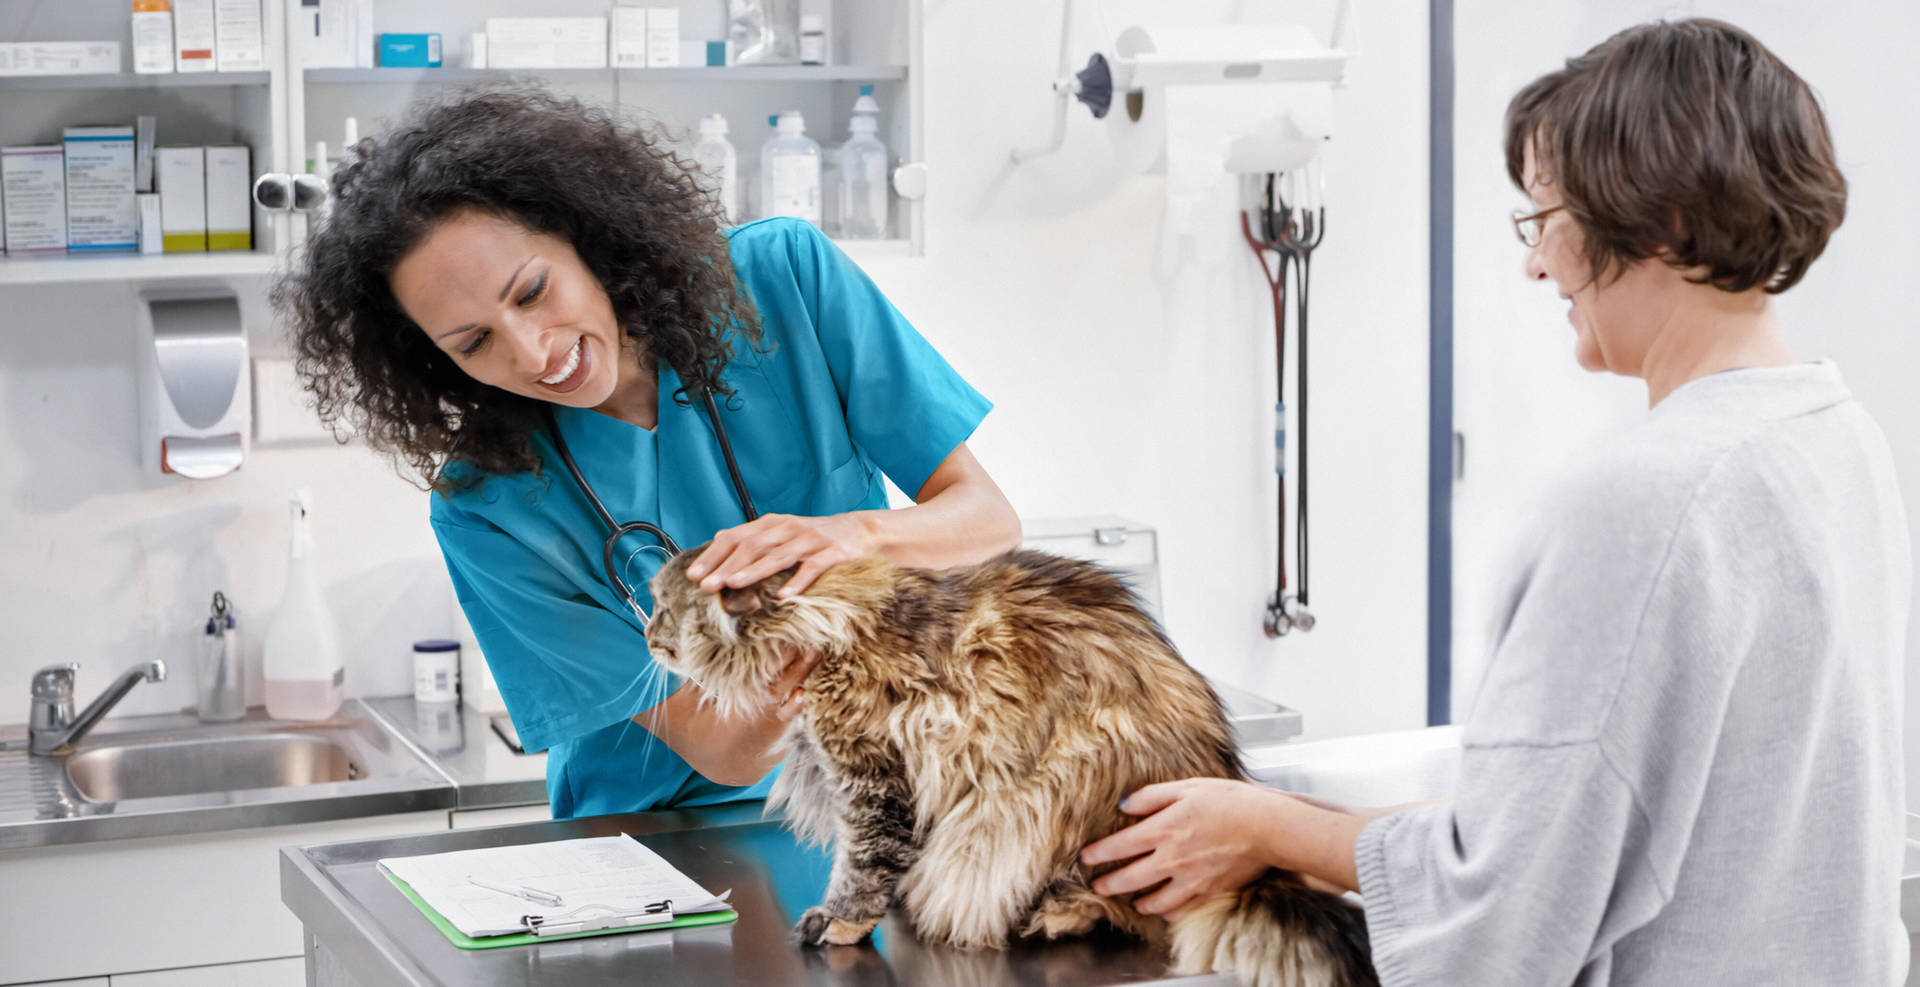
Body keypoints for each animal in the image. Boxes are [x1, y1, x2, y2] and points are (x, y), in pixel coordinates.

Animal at [648, 545, 1382, 983]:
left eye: (661, 608)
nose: (648, 636)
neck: (827, 624)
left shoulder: (872, 776)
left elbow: (864, 864)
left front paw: (841, 922)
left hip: (1049, 794)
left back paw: (1056, 913)